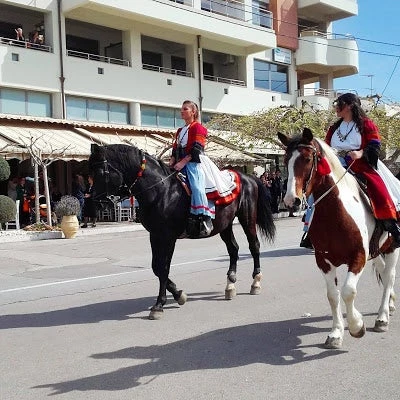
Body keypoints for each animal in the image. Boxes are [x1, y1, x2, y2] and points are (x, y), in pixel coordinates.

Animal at [88, 144, 276, 318]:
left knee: (254, 246)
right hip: (225, 224)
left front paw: (159, 305)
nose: (95, 204)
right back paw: (230, 285)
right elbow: (156, 267)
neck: (160, 191)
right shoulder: (155, 235)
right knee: (233, 249)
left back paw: (255, 283)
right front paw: (179, 294)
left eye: (101, 171)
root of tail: (248, 177)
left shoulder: (168, 237)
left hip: (247, 219)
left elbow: (163, 268)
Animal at [280, 130, 398, 348]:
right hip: (377, 250)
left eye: (307, 159)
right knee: (383, 272)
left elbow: (348, 291)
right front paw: (336, 333)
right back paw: (390, 304)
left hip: (392, 247)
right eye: (285, 160)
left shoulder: (358, 257)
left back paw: (382, 317)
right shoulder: (324, 260)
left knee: (389, 277)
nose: (292, 200)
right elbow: (333, 295)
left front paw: (356, 325)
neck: (335, 213)